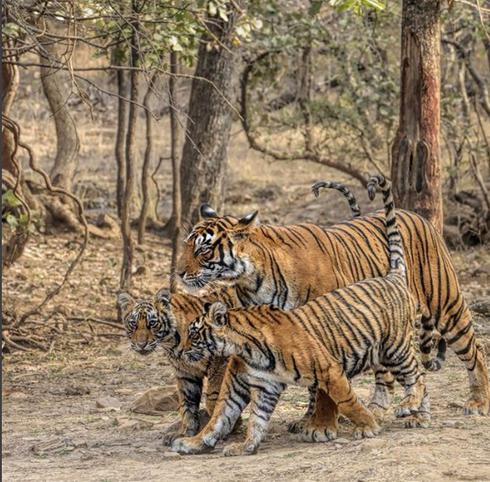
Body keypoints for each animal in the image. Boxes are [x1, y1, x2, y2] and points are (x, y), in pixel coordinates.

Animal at [177, 185, 490, 418]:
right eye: (186, 245)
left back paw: (478, 402)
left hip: (446, 305)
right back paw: (378, 407)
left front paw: (318, 420)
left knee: (474, 352)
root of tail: (416, 214)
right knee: (385, 372)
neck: (251, 278)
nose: (178, 272)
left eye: (203, 249)